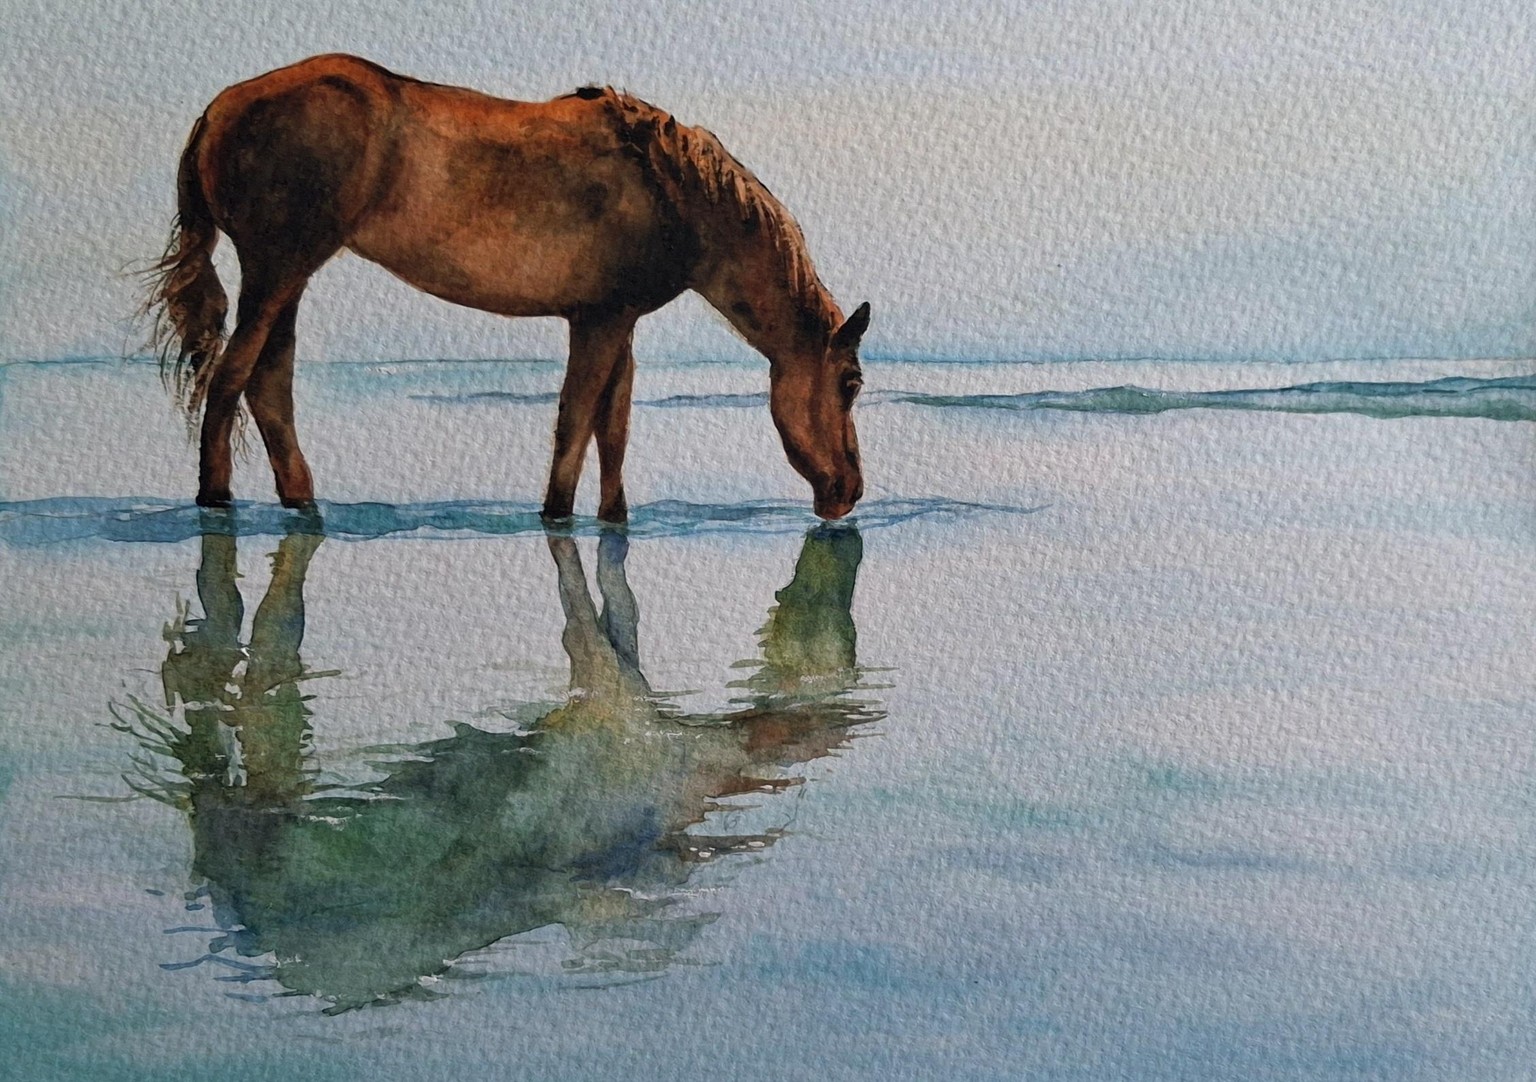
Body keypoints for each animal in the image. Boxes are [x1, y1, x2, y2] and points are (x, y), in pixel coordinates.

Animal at [145, 54, 870, 521]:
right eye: (852, 383)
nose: (851, 493)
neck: (674, 192)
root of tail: (215, 112)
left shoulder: (617, 319)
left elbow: (613, 426)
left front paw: (615, 518)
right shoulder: (599, 319)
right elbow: (576, 420)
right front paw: (556, 515)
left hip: (290, 275)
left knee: (268, 385)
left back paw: (301, 501)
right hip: (277, 267)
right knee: (231, 379)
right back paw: (216, 501)